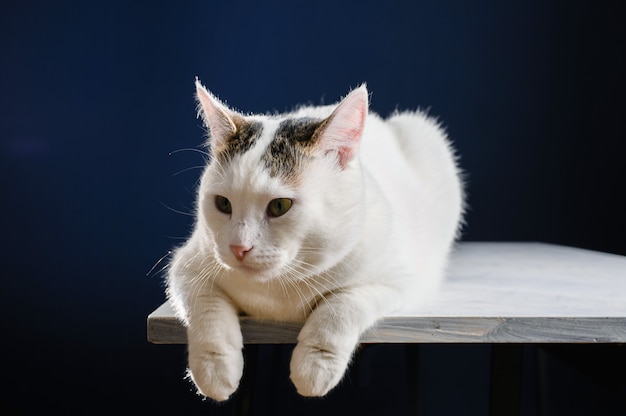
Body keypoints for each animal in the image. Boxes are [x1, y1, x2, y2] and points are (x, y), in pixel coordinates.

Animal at [166, 79, 464, 402]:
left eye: (279, 206)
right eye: (222, 204)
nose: (238, 247)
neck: (277, 287)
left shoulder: (398, 280)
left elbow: (341, 305)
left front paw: (315, 366)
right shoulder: (188, 264)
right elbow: (206, 307)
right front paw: (215, 369)